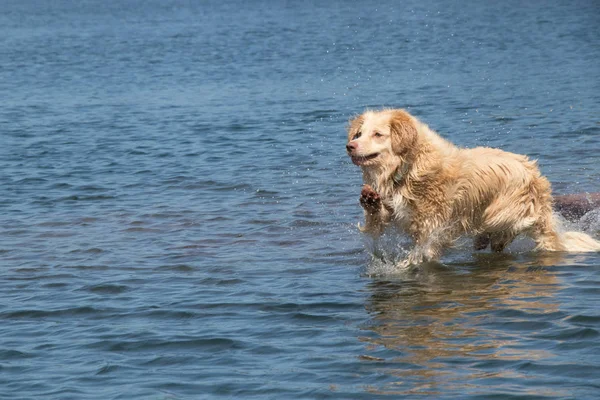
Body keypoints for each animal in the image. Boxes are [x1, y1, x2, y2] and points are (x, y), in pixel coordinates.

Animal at [346, 108, 600, 268]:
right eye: (359, 133)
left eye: (378, 134)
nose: (350, 146)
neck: (409, 166)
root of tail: (536, 175)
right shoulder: (396, 210)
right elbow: (378, 222)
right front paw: (369, 199)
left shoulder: (433, 223)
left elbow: (423, 249)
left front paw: (406, 265)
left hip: (505, 208)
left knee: (506, 228)